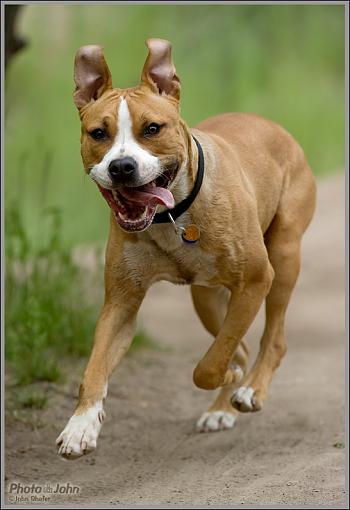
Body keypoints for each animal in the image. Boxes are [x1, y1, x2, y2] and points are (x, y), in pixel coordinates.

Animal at [56, 36, 316, 458]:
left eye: (152, 128)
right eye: (98, 133)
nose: (122, 167)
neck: (172, 217)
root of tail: (270, 124)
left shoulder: (255, 280)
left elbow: (208, 367)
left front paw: (228, 376)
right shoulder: (121, 302)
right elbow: (93, 369)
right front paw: (81, 426)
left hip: (284, 257)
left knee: (271, 340)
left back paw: (250, 390)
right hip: (206, 297)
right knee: (240, 344)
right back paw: (222, 407)